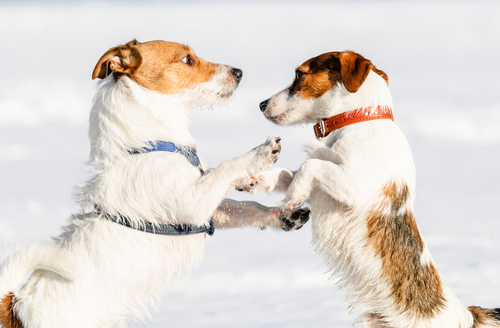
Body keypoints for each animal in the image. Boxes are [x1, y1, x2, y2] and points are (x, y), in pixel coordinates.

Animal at [0, 40, 308, 328]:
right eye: (187, 59)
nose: (239, 72)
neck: (153, 144)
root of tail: (17, 308)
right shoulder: (193, 204)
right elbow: (227, 166)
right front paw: (259, 153)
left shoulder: (205, 211)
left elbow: (246, 207)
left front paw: (282, 214)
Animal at [246, 50, 500, 326]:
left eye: (300, 74)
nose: (261, 104)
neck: (356, 120)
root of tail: (466, 315)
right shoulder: (322, 191)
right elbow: (287, 174)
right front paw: (258, 179)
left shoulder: (350, 186)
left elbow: (310, 166)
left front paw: (291, 199)